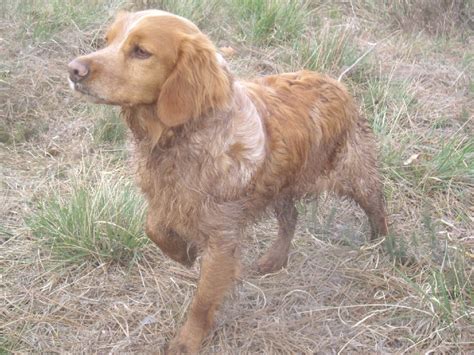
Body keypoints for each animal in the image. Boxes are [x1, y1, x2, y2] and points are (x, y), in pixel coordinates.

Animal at [68, 9, 390, 354]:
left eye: (141, 51)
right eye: (107, 41)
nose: (73, 70)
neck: (181, 139)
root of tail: (336, 82)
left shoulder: (222, 237)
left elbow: (203, 300)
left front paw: (187, 341)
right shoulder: (167, 200)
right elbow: (153, 226)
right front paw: (183, 253)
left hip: (354, 172)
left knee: (377, 204)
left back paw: (383, 245)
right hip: (279, 186)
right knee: (291, 218)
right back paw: (275, 259)